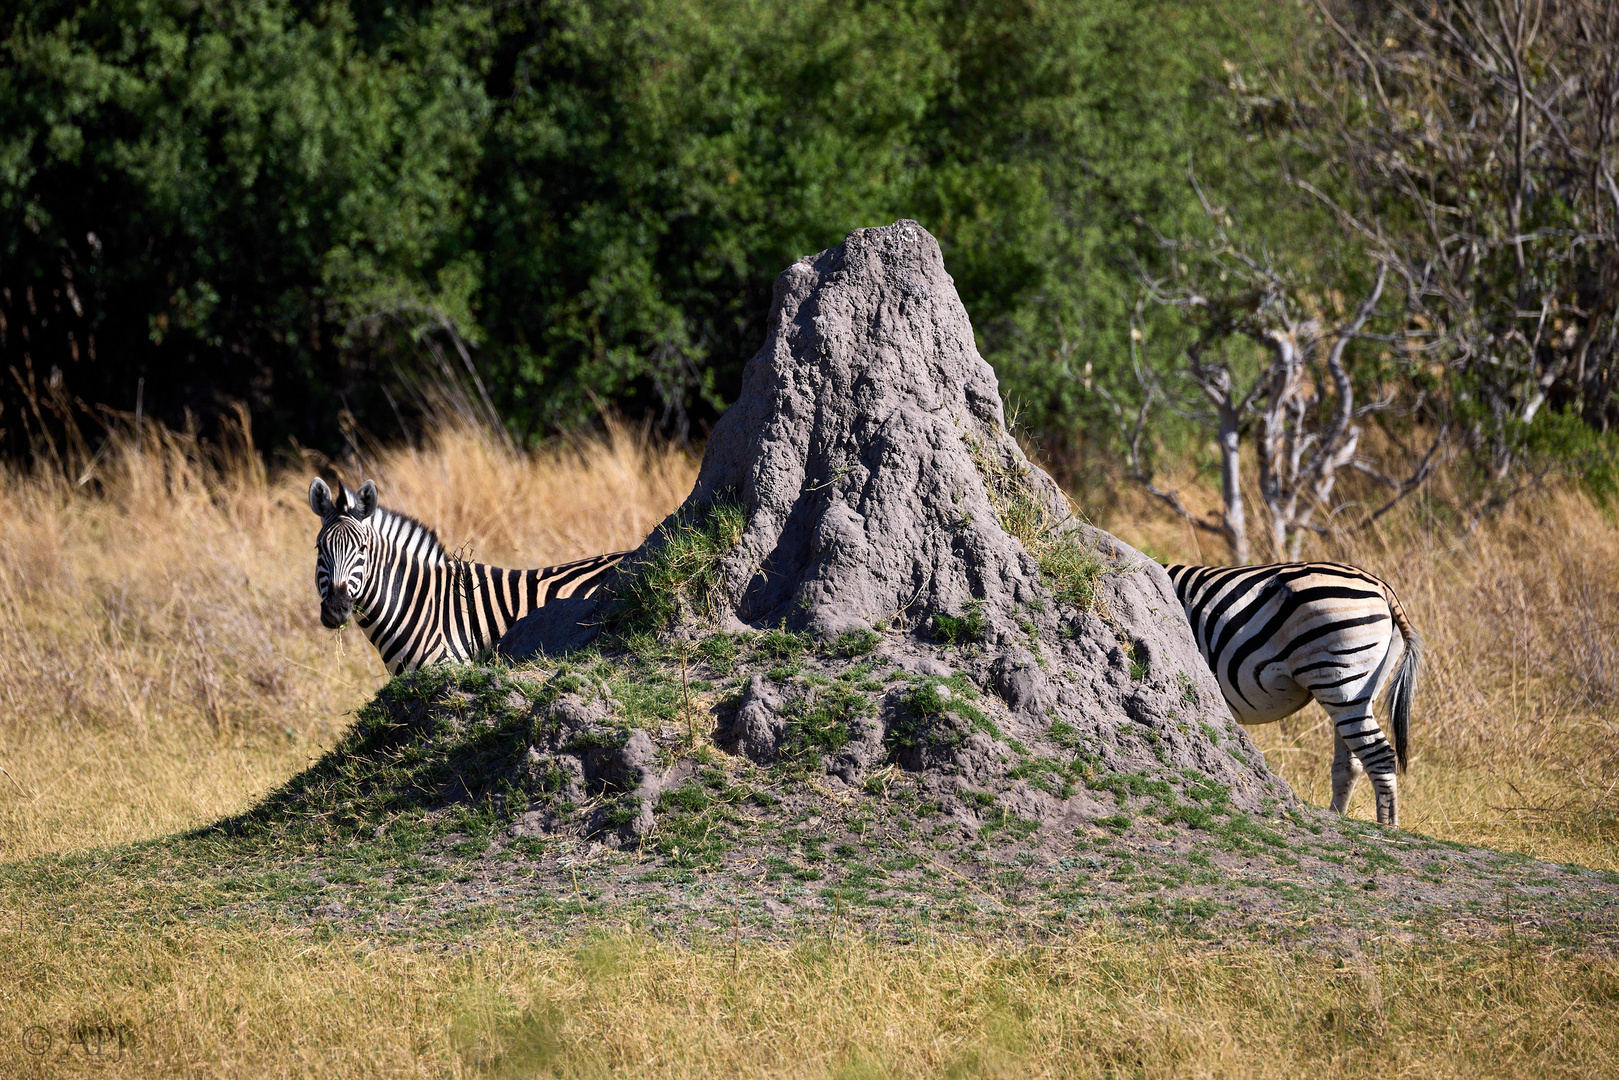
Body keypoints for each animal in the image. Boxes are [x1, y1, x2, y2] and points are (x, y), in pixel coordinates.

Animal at [1165, 557, 1418, 829]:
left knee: (1380, 756)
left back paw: (1387, 828)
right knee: (1351, 763)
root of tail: (1382, 587)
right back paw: (1338, 818)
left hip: (1341, 681)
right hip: (1357, 692)